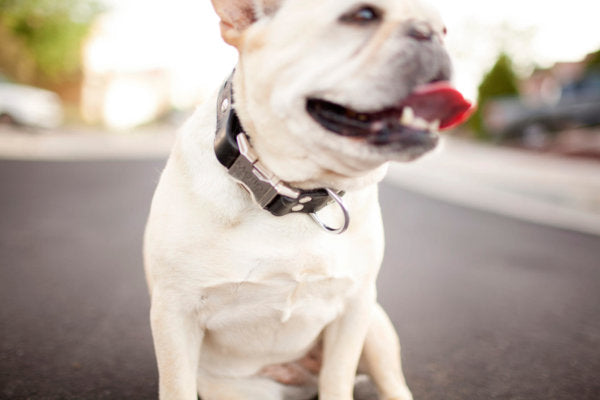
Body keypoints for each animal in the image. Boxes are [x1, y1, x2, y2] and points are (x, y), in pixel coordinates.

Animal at [143, 0, 472, 400]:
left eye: (444, 29)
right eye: (363, 16)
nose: (430, 33)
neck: (290, 190)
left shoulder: (354, 308)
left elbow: (338, 376)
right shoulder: (174, 314)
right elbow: (176, 384)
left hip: (375, 325)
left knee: (392, 385)